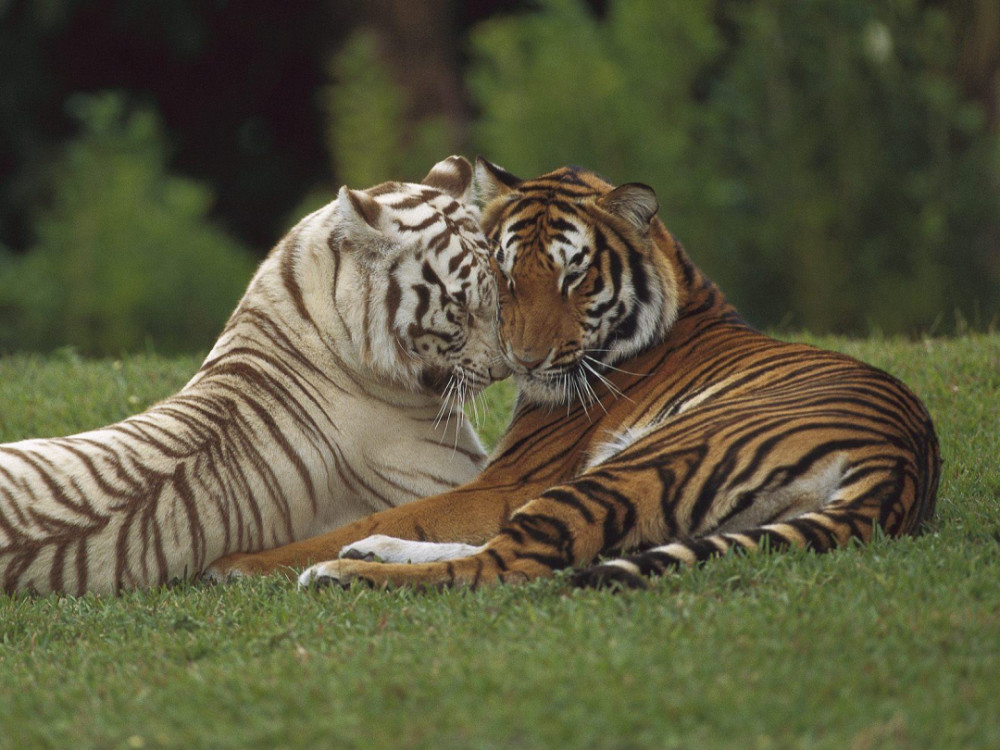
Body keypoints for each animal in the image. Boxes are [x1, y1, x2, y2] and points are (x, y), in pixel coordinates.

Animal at [207, 160, 940, 592]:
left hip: (638, 464)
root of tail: (901, 463)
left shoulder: (511, 480)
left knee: (506, 562)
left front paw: (242, 562)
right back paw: (367, 552)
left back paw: (336, 571)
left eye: (574, 277)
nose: (523, 361)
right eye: (505, 275)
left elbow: (405, 511)